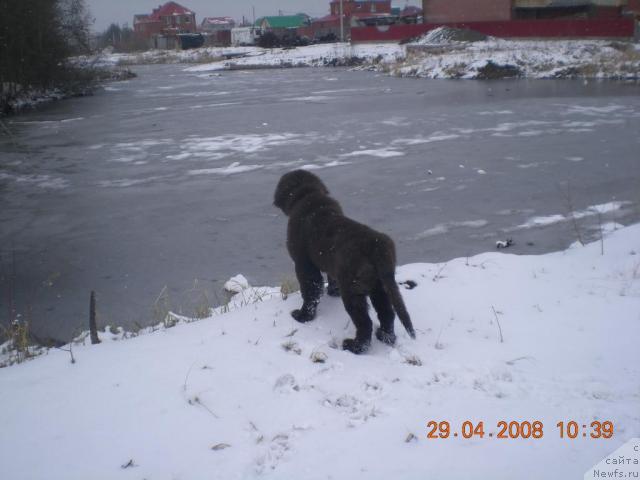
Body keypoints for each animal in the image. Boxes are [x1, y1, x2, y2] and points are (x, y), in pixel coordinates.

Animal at [274, 169, 416, 352]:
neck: (308, 195)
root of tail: (375, 245)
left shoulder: (303, 263)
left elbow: (310, 291)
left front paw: (303, 316)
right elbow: (329, 279)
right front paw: (332, 292)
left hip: (353, 289)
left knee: (365, 322)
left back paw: (355, 346)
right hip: (379, 286)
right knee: (387, 313)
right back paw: (385, 337)